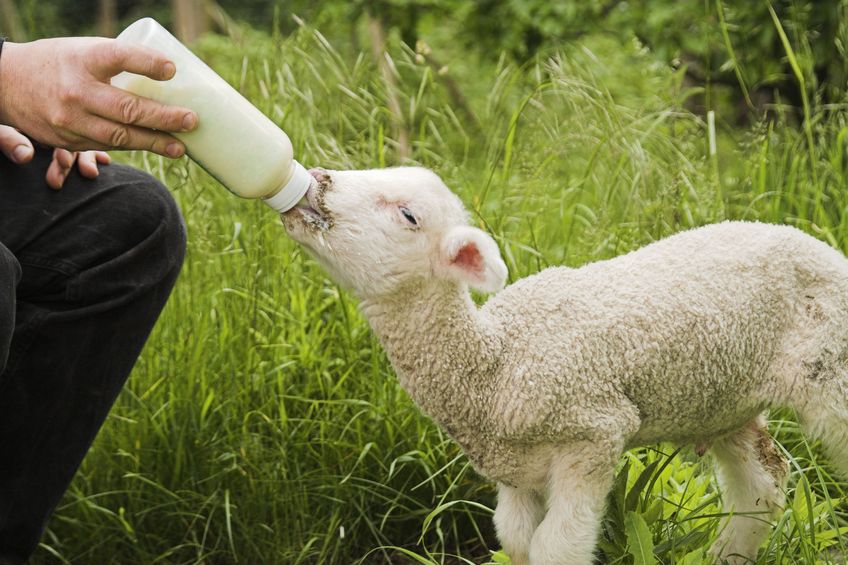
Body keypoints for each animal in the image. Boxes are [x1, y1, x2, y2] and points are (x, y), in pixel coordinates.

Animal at [280, 166, 848, 564]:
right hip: (726, 399)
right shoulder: (515, 473)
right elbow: (516, 542)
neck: (495, 365)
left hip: (833, 368)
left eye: (408, 216)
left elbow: (557, 548)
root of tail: (817, 245)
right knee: (763, 486)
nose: (315, 180)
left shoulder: (593, 434)